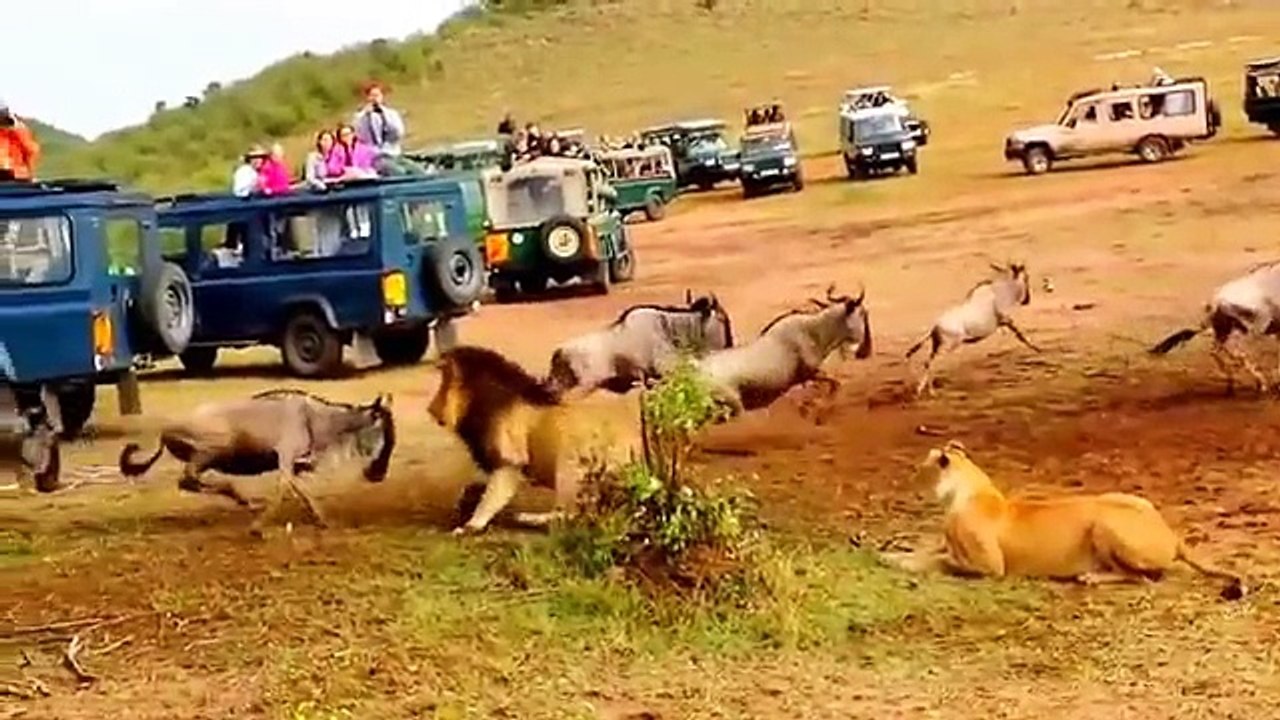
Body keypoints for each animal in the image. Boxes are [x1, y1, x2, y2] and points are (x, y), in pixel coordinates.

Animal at [427, 345, 618, 536]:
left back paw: (528, 518)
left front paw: (469, 526)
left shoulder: (510, 460)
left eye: (444, 384)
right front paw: (465, 501)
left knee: (574, 514)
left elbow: (492, 497)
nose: (430, 409)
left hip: (571, 461)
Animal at [880, 441, 1244, 597]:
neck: (965, 489)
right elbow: (929, 552)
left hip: (1104, 523)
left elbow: (941, 563)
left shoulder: (992, 568)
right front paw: (891, 554)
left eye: (920, 468)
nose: (909, 480)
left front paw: (901, 563)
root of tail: (1173, 536)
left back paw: (1092, 578)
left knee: (1145, 578)